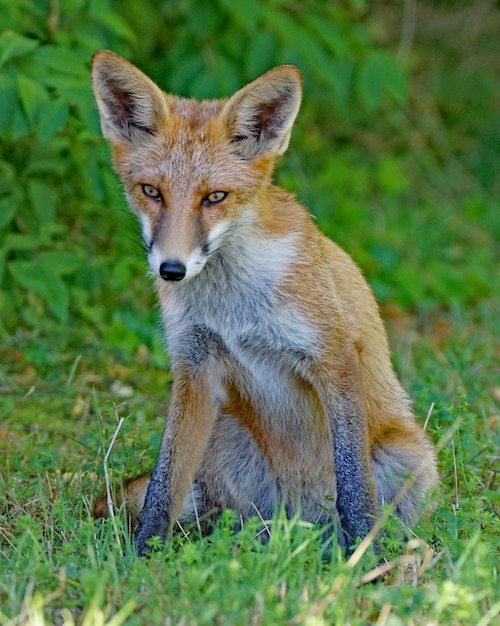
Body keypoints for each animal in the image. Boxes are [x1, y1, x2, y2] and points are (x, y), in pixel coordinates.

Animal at [92, 51, 436, 552]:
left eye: (214, 197)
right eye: (151, 191)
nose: (171, 270)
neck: (232, 307)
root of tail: (301, 516)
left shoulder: (333, 357)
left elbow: (354, 490)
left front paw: (362, 559)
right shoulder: (195, 367)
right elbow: (163, 486)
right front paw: (141, 557)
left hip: (407, 455)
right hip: (228, 438)